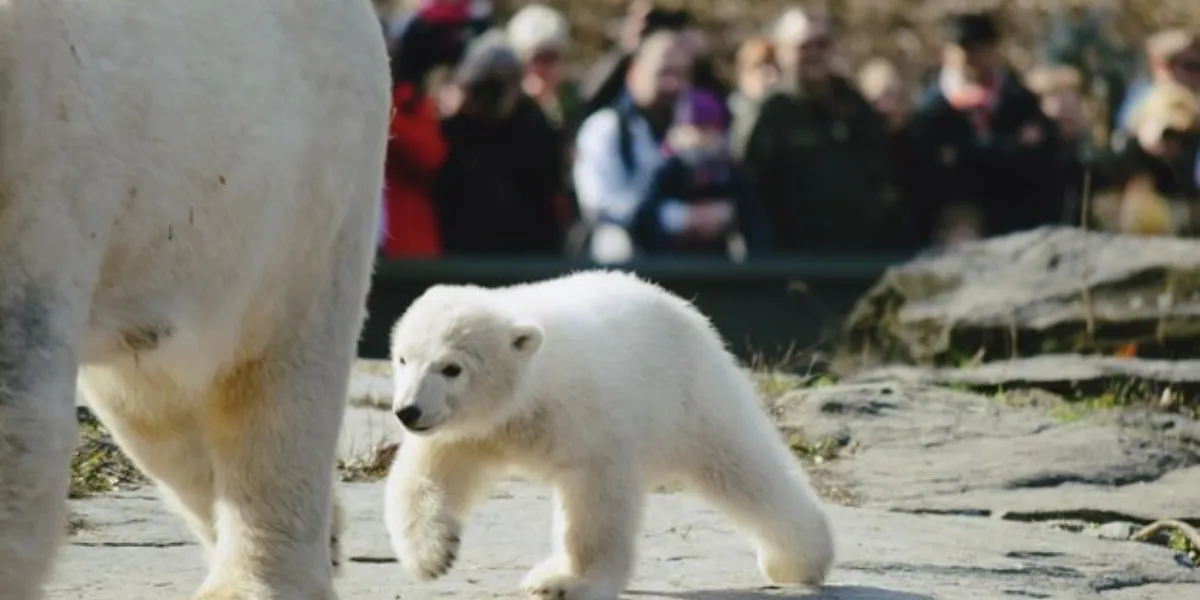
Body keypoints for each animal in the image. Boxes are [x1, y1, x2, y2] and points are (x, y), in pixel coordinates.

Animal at [0, 1, 388, 600]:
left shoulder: (34, 165)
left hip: (303, 196)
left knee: (274, 386)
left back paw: (258, 580)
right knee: (157, 411)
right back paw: (330, 534)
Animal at [384, 271, 835, 600]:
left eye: (451, 368)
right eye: (404, 358)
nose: (408, 411)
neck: (530, 390)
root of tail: (686, 309)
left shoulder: (587, 415)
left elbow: (595, 498)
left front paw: (572, 582)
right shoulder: (470, 430)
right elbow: (426, 471)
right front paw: (434, 555)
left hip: (689, 397)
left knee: (743, 467)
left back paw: (799, 560)